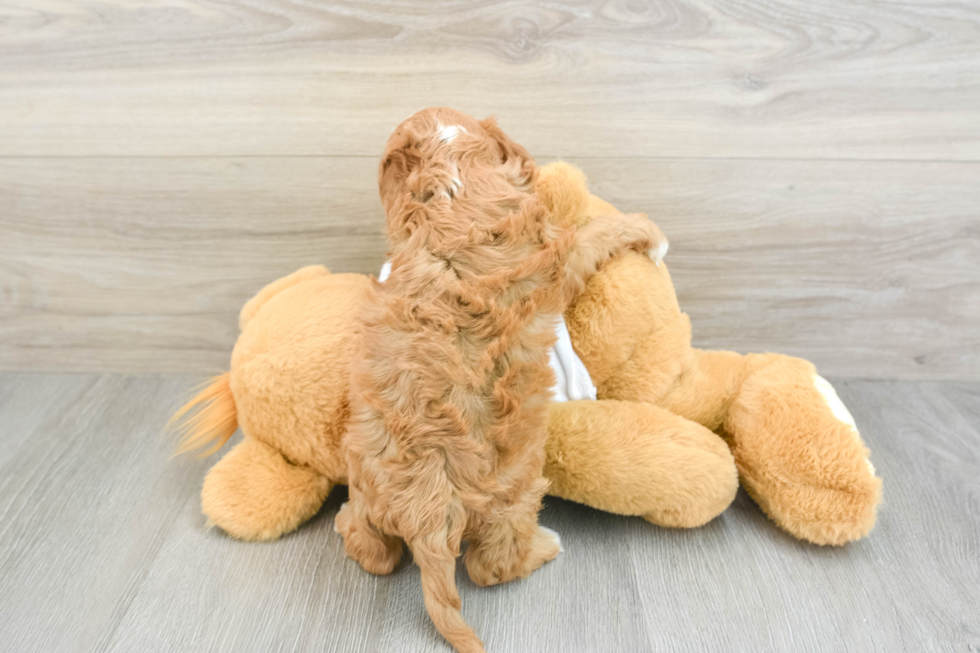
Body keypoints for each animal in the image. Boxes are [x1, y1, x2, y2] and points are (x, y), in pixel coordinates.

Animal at [336, 108, 668, 652]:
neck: (447, 179)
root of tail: (426, 513)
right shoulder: (557, 255)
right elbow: (592, 236)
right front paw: (646, 231)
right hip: (512, 502)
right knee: (490, 566)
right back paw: (547, 546)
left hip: (367, 488)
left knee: (375, 554)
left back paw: (346, 526)